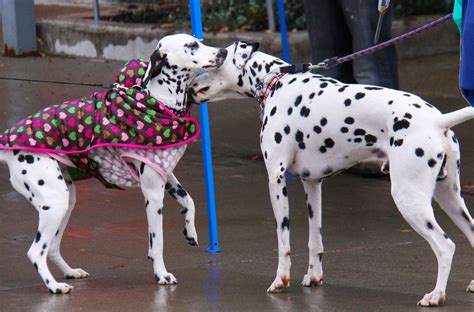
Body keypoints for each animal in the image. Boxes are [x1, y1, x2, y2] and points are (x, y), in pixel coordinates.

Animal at [0, 34, 228, 294]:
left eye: (199, 40)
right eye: (192, 46)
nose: (223, 52)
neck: (159, 101)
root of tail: (6, 143)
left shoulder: (166, 176)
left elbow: (189, 201)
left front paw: (190, 231)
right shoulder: (153, 194)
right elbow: (157, 241)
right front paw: (161, 274)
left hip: (66, 202)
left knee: (53, 247)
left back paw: (70, 272)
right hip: (54, 203)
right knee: (36, 252)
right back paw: (54, 286)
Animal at [189, 40, 474, 306]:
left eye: (215, 60)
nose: (189, 89)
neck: (277, 82)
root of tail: (437, 120)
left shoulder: (276, 180)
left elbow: (283, 241)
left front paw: (280, 280)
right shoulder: (312, 183)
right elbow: (315, 240)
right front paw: (313, 276)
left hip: (410, 199)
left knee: (445, 246)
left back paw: (436, 295)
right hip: (449, 197)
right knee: (470, 232)